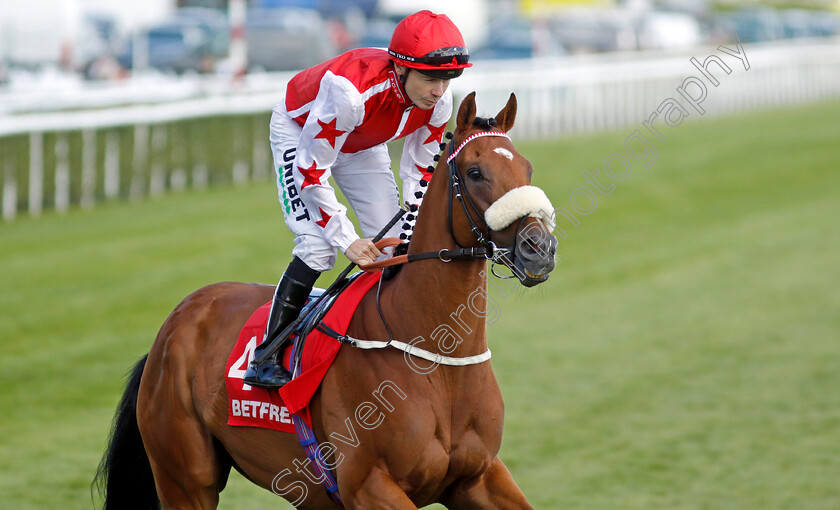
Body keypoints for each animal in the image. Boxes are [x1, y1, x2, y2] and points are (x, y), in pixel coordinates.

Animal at [95, 92, 556, 510]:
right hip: (186, 480)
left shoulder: (479, 476)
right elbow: (311, 174)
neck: (437, 360)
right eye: (476, 172)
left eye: (527, 168)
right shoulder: (369, 485)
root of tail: (171, 329)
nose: (540, 248)